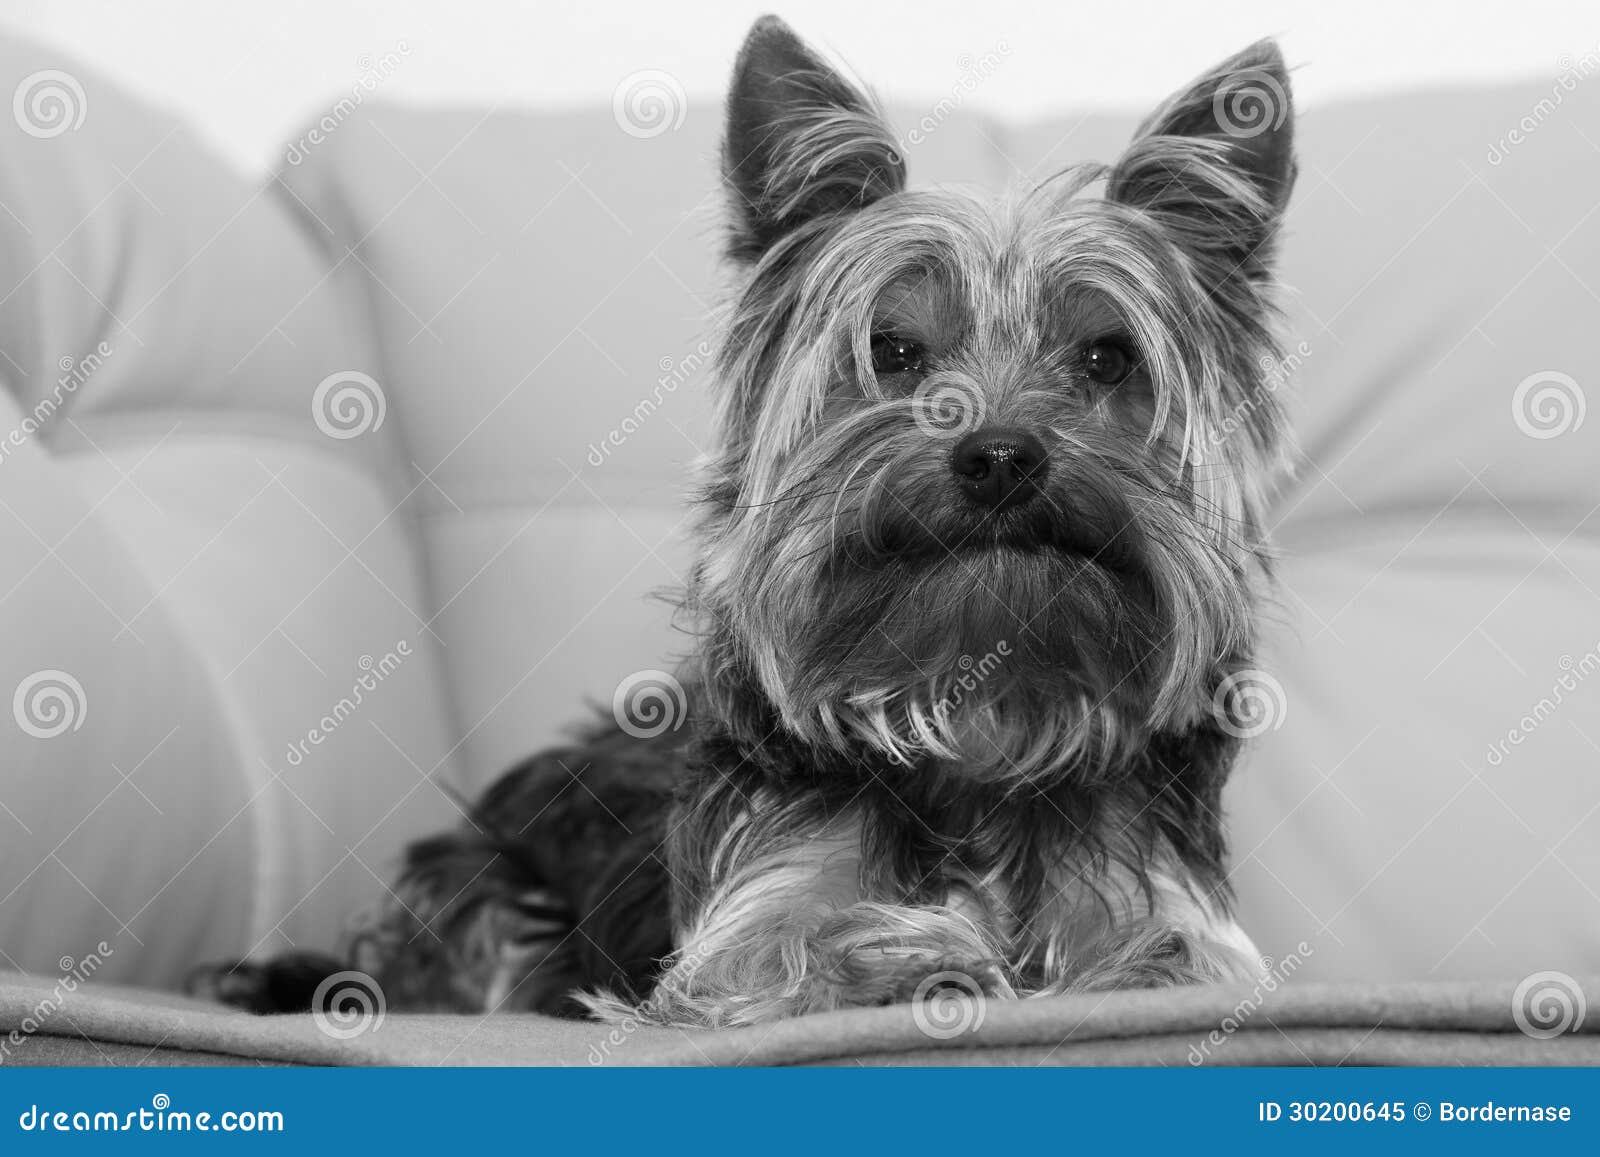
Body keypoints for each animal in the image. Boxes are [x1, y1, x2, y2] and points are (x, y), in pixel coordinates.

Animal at [203, 15, 1299, 1030]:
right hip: (495, 898)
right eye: (892, 349)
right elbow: (790, 941)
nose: (998, 455)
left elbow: (1167, 953)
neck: (977, 715)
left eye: (1107, 359)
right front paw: (925, 952)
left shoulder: (1172, 904)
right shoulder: (742, 924)